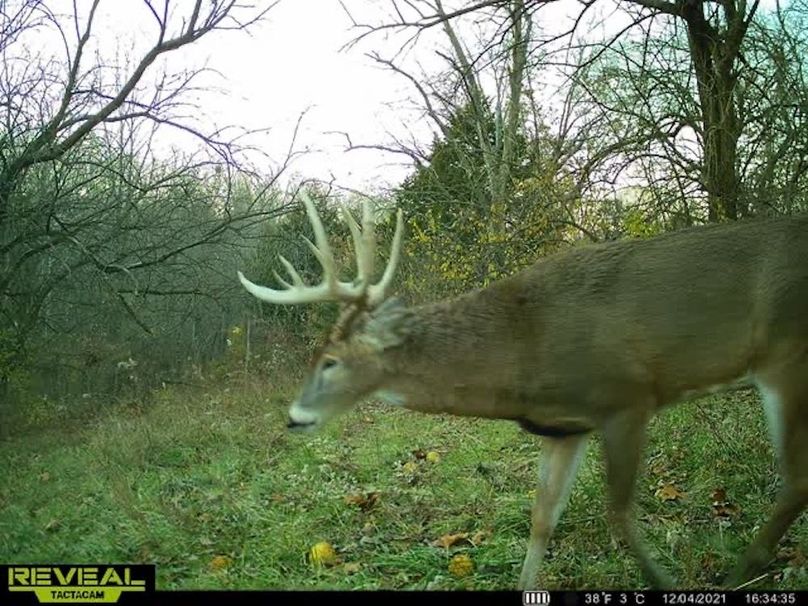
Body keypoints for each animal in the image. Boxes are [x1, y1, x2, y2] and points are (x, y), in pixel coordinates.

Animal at [238, 191, 807, 590]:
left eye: (330, 362)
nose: (293, 416)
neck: (523, 348)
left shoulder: (626, 397)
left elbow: (619, 514)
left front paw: (662, 581)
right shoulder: (565, 427)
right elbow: (541, 521)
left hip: (787, 356)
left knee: (796, 482)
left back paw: (739, 573)